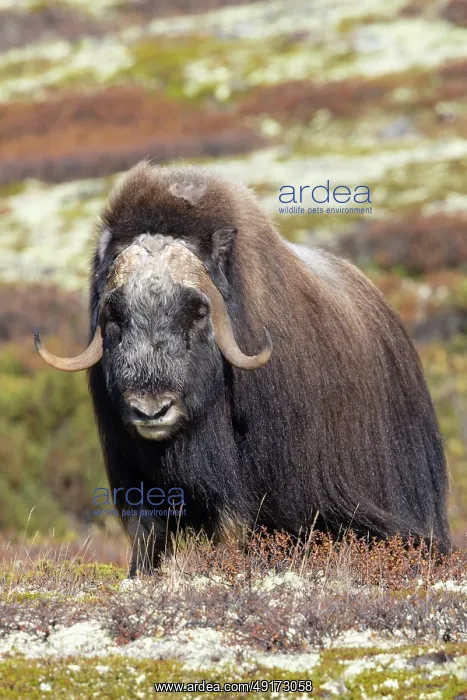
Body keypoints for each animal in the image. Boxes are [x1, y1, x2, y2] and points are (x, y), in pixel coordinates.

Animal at [34, 161, 451, 573]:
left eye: (198, 312)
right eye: (115, 315)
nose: (151, 411)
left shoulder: (244, 494)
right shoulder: (134, 482)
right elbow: (147, 536)